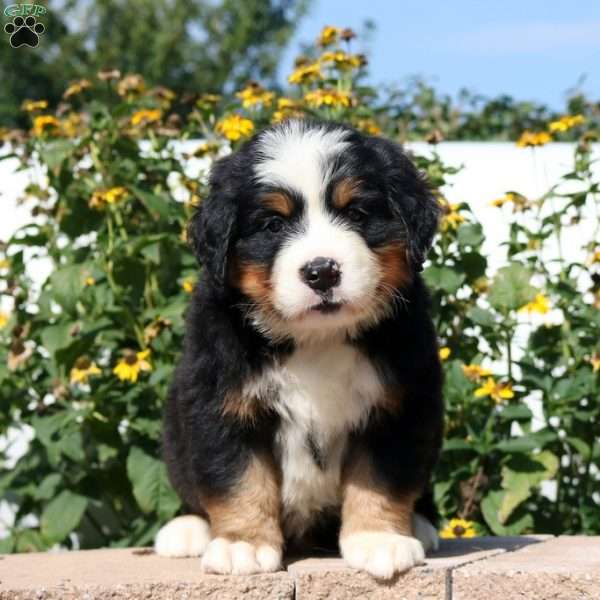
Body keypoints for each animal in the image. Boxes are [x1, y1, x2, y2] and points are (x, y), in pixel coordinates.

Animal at [155, 118, 446, 576]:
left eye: (357, 214)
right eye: (274, 225)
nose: (321, 271)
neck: (317, 338)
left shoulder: (400, 403)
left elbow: (380, 477)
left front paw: (379, 540)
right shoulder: (220, 403)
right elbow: (238, 477)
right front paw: (242, 544)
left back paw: (419, 525)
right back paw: (186, 530)